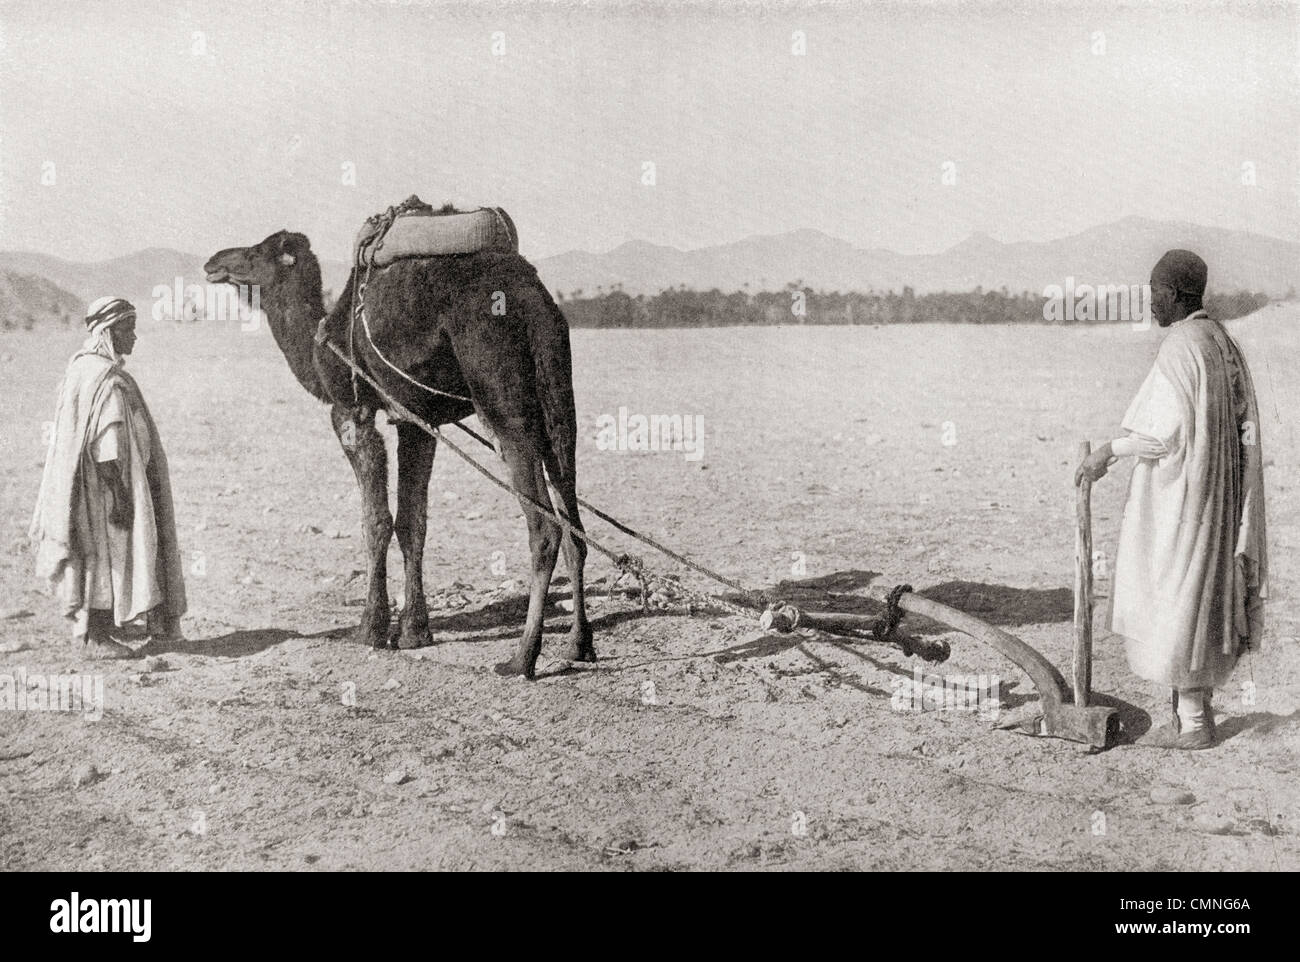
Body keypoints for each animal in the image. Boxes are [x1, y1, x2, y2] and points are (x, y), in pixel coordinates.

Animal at [202, 226, 595, 681]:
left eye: (254, 252)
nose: (213, 261)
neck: (322, 346)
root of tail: (533, 300)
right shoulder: (414, 420)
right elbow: (413, 523)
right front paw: (414, 631)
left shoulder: (351, 412)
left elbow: (376, 521)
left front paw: (370, 629)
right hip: (557, 394)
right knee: (573, 521)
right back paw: (579, 644)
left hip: (501, 396)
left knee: (544, 527)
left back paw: (521, 658)